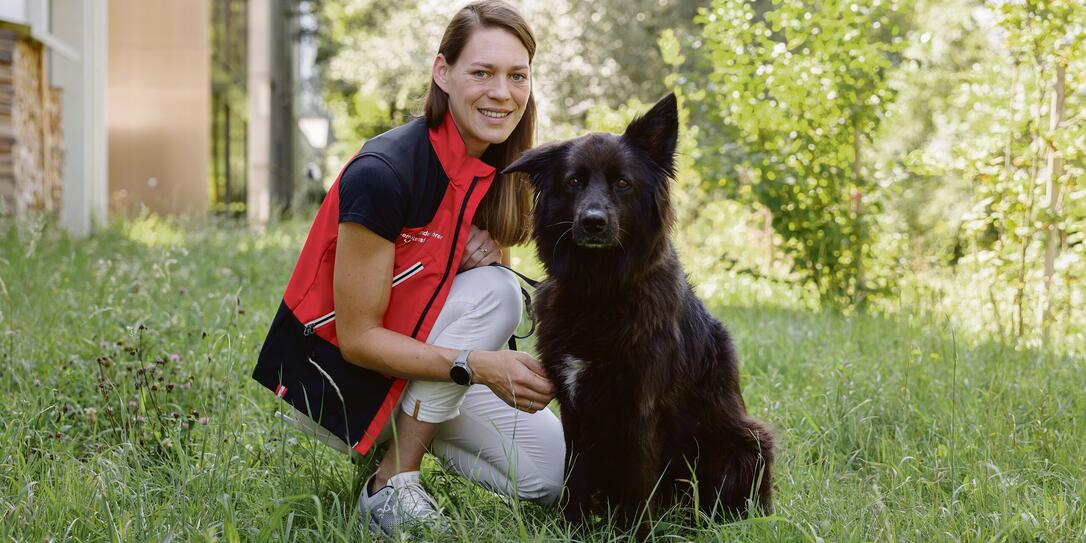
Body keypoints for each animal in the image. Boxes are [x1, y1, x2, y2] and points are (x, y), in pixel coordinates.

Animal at [501, 92, 773, 525]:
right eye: (573, 182)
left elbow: (639, 484)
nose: (593, 222)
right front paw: (573, 528)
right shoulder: (574, 405)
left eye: (622, 183)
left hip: (748, 442)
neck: (600, 290)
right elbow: (574, 476)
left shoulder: (642, 405)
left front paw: (636, 531)